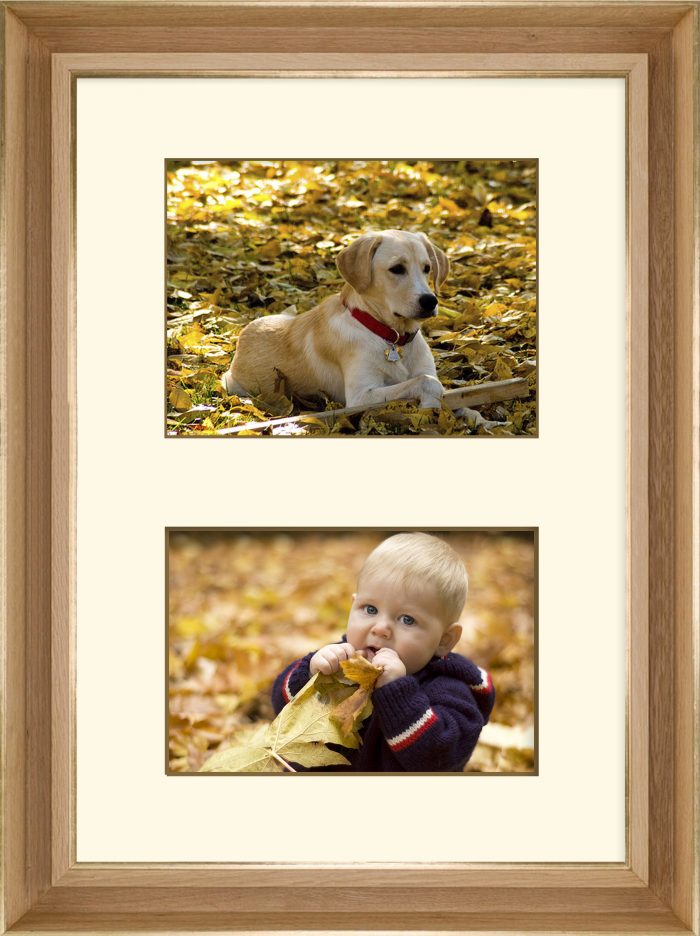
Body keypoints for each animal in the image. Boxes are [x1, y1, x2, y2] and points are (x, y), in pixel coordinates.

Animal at [223, 229, 448, 408]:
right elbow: (427, 382)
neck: (392, 338)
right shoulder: (361, 397)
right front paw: (430, 407)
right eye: (397, 268)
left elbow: (431, 381)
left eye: (427, 268)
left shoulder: (423, 369)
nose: (430, 301)